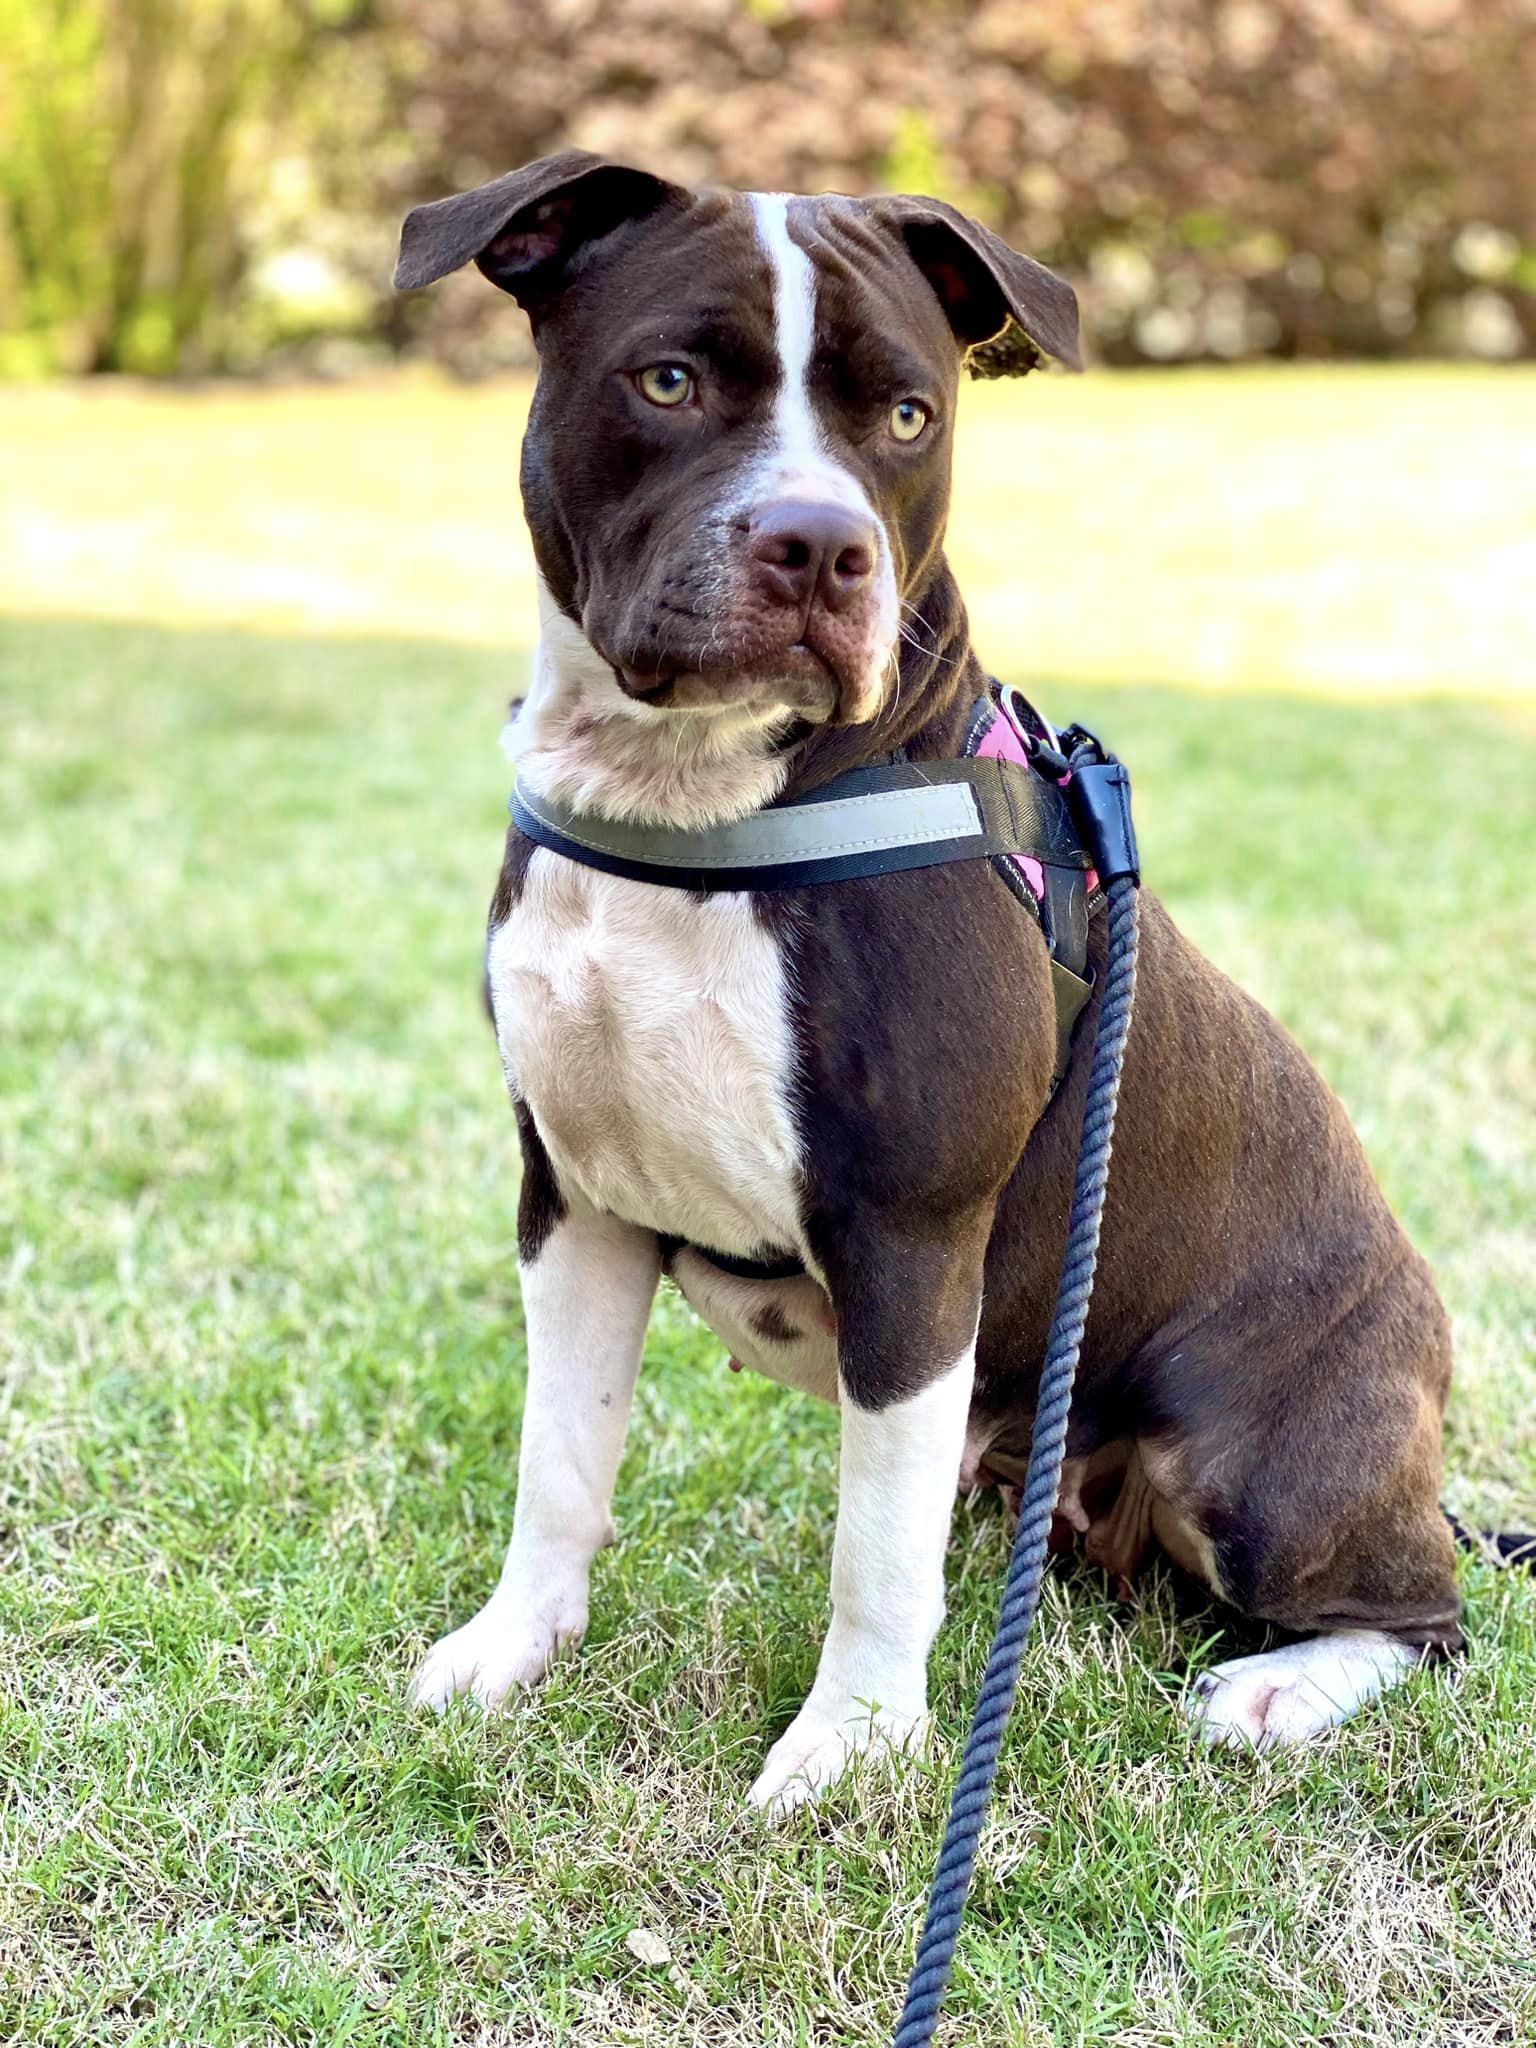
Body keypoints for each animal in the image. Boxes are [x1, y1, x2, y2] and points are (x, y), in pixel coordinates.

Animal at [393, 163, 1466, 1826]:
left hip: (1251, 1458)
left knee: (1429, 1615)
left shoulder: (910, 1240)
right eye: (669, 380)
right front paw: (516, 1649)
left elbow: (873, 1555)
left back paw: (1281, 1688)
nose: (818, 544)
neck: (694, 809)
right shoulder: (572, 1202)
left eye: (907, 416)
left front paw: (850, 1745)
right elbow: (560, 1462)